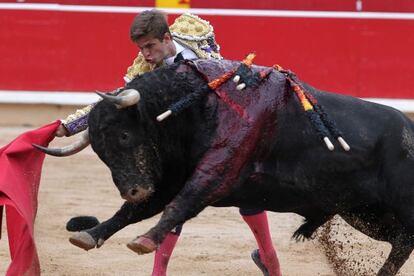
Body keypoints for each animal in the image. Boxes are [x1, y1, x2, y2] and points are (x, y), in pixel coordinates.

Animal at [42, 59, 414, 274]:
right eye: (99, 150)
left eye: (122, 135)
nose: (133, 189)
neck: (195, 105)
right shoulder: (168, 179)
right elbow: (136, 211)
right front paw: (90, 234)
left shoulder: (216, 172)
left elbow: (181, 203)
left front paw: (144, 240)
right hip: (364, 213)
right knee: (399, 240)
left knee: (405, 242)